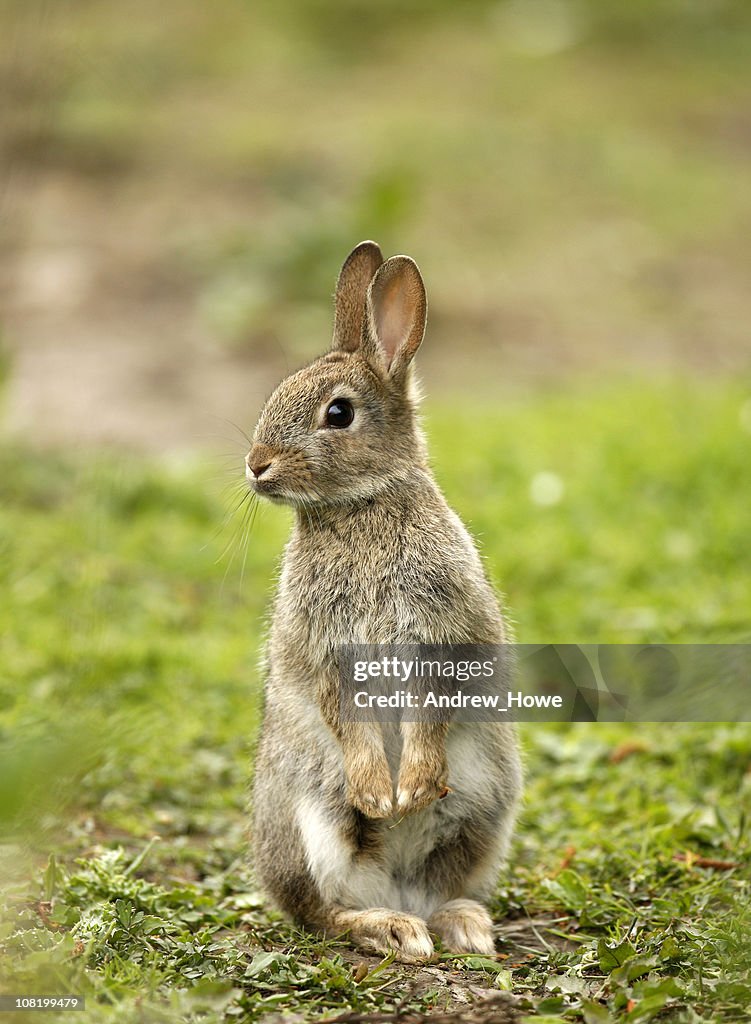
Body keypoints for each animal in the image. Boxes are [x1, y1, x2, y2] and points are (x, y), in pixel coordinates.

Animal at [247, 241, 520, 958]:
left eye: (338, 413)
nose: (256, 464)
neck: (360, 505)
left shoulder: (444, 633)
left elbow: (433, 706)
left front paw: (411, 787)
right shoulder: (326, 649)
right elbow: (344, 713)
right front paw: (379, 795)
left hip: (483, 808)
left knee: (436, 886)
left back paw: (459, 925)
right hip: (311, 820)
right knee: (324, 914)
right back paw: (391, 926)